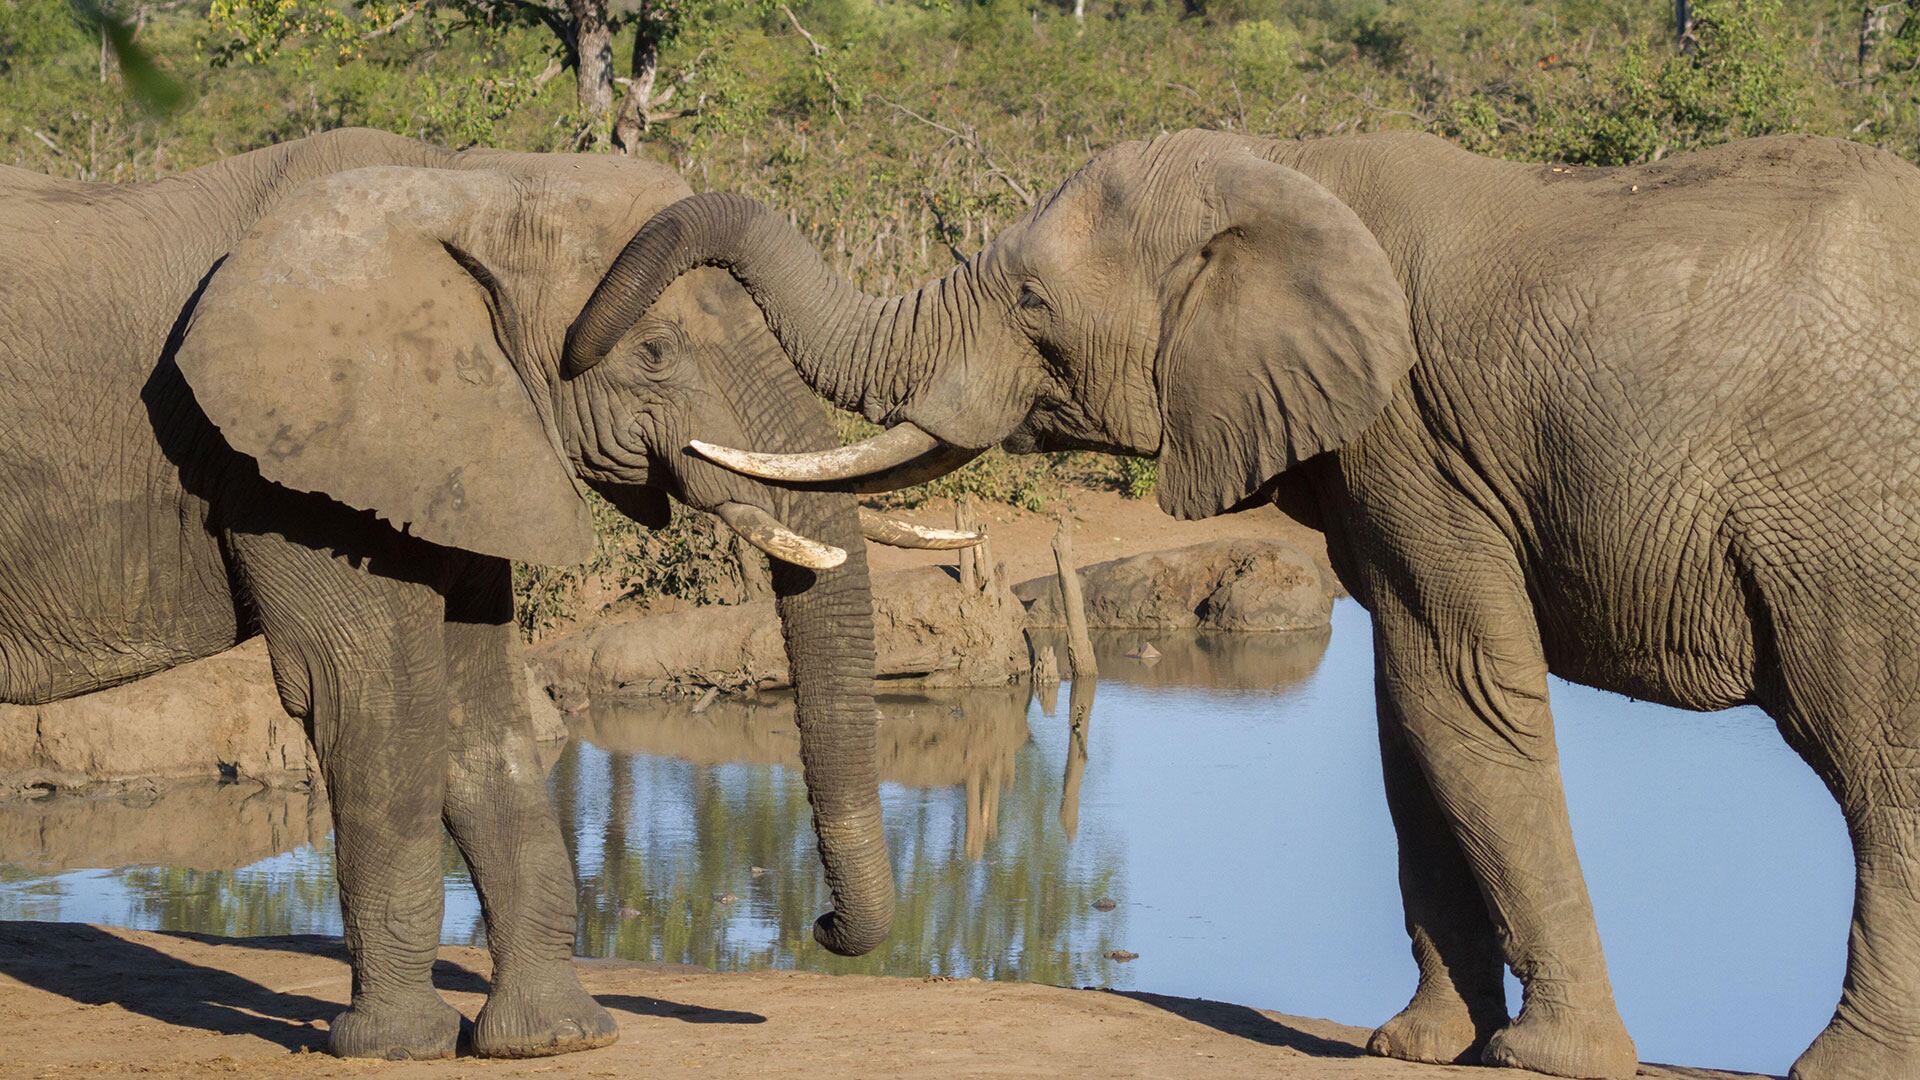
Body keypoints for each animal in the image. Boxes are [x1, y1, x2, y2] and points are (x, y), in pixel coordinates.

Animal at [0, 127, 975, 1060]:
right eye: (655, 353)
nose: (821, 923)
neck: (464, 183)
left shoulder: (463, 443)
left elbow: (482, 712)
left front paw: (554, 1038)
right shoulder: (293, 466)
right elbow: (372, 698)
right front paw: (394, 1048)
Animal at [560, 127, 1920, 1076]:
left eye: (1034, 307)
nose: (821, 924)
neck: (1285, 170)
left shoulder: (1416, 439)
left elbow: (1455, 696)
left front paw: (1542, 1060)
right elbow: (1406, 720)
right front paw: (1414, 1047)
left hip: (1852, 531)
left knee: (1874, 760)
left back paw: (1841, 1068)